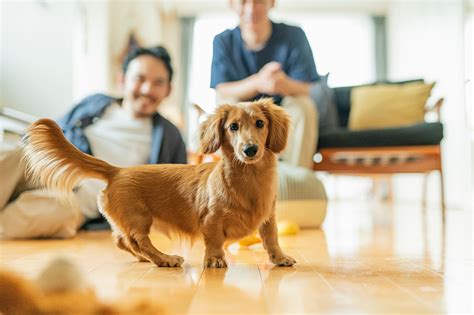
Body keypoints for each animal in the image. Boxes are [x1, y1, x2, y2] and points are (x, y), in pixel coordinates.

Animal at [24, 99, 296, 270]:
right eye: (233, 127)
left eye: (260, 123)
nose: (250, 150)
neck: (249, 179)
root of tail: (116, 170)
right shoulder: (211, 219)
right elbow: (214, 241)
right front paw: (215, 260)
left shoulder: (268, 216)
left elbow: (271, 238)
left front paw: (279, 258)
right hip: (140, 218)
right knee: (137, 241)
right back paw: (164, 259)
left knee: (121, 240)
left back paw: (146, 259)